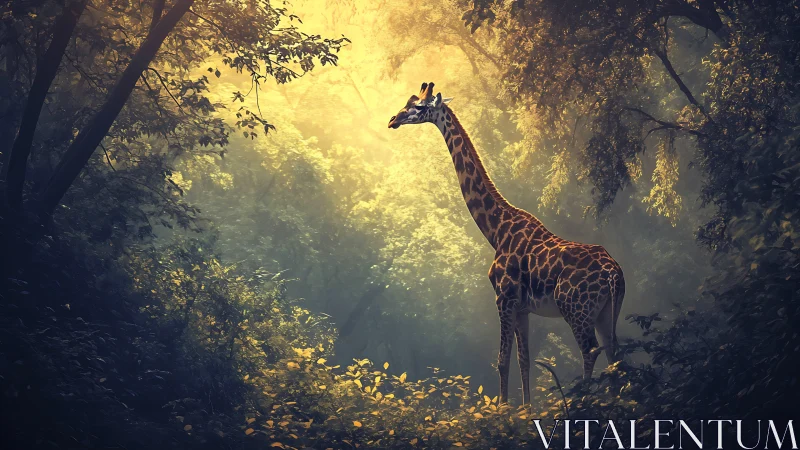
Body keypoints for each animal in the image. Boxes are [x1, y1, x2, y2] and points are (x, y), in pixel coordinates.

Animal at [388, 82, 626, 405]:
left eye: (420, 107)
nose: (393, 120)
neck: (496, 230)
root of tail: (613, 274)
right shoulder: (523, 307)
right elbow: (524, 361)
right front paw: (525, 410)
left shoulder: (504, 297)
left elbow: (502, 361)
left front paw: (502, 410)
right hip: (607, 311)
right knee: (615, 354)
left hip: (576, 309)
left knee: (590, 352)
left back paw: (583, 405)